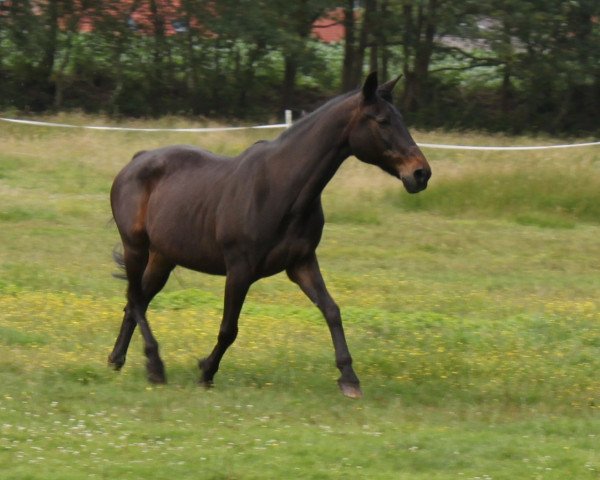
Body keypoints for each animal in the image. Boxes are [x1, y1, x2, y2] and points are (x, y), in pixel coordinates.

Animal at [108, 72, 432, 398]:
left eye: (400, 118)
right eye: (382, 121)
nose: (421, 174)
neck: (281, 188)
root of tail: (137, 160)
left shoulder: (301, 263)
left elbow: (332, 310)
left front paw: (349, 379)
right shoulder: (239, 269)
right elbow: (229, 328)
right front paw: (206, 371)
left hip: (163, 257)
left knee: (135, 301)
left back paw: (117, 360)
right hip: (136, 248)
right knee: (135, 299)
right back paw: (154, 365)